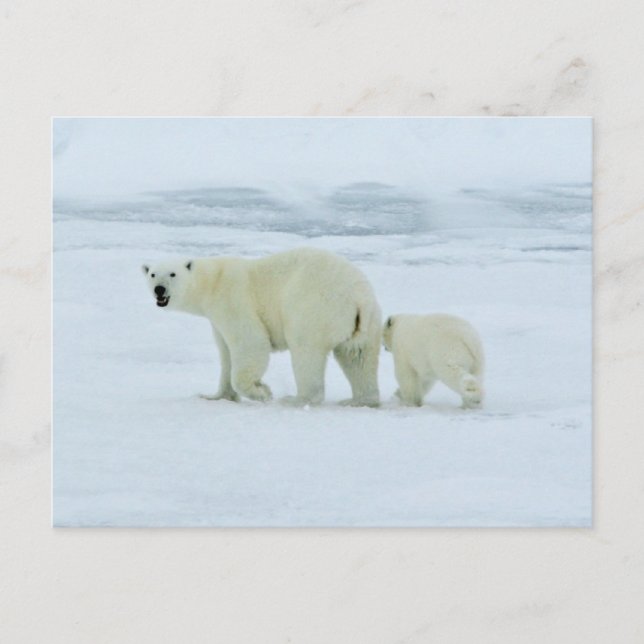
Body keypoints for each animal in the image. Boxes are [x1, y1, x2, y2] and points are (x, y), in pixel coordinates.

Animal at [142, 248, 381, 407]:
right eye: (152, 274)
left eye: (172, 274)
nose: (159, 289)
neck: (213, 282)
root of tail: (359, 298)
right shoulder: (217, 319)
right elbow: (226, 353)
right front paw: (216, 396)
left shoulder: (232, 300)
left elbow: (250, 342)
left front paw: (262, 392)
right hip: (365, 322)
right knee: (358, 357)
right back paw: (358, 400)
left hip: (313, 306)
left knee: (306, 351)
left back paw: (295, 399)